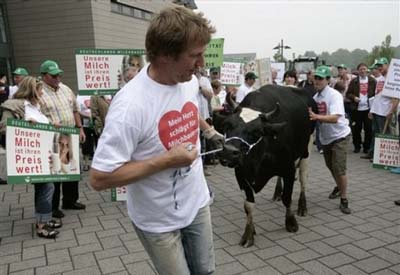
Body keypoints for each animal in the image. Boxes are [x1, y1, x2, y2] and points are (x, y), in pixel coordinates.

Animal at [214, 84, 318, 248]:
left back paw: (302, 206)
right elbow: (248, 206)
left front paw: (291, 222)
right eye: (227, 126)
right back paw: (277, 192)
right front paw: (249, 233)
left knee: (303, 178)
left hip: (306, 149)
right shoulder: (241, 174)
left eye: (256, 132)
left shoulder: (288, 169)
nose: (229, 152)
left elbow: (287, 198)